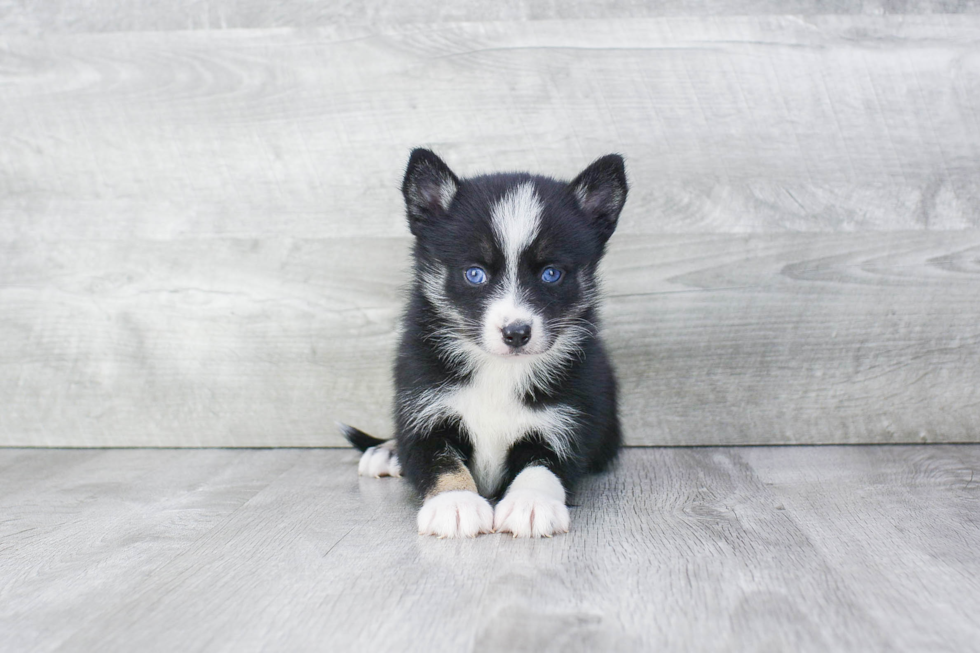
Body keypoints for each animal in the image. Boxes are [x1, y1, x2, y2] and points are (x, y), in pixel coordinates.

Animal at [340, 150, 624, 536]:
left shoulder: (568, 419)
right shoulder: (422, 406)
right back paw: (384, 451)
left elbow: (544, 465)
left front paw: (531, 503)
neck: (499, 369)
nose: (516, 333)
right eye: (474, 274)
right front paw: (455, 503)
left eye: (551, 274)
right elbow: (441, 460)